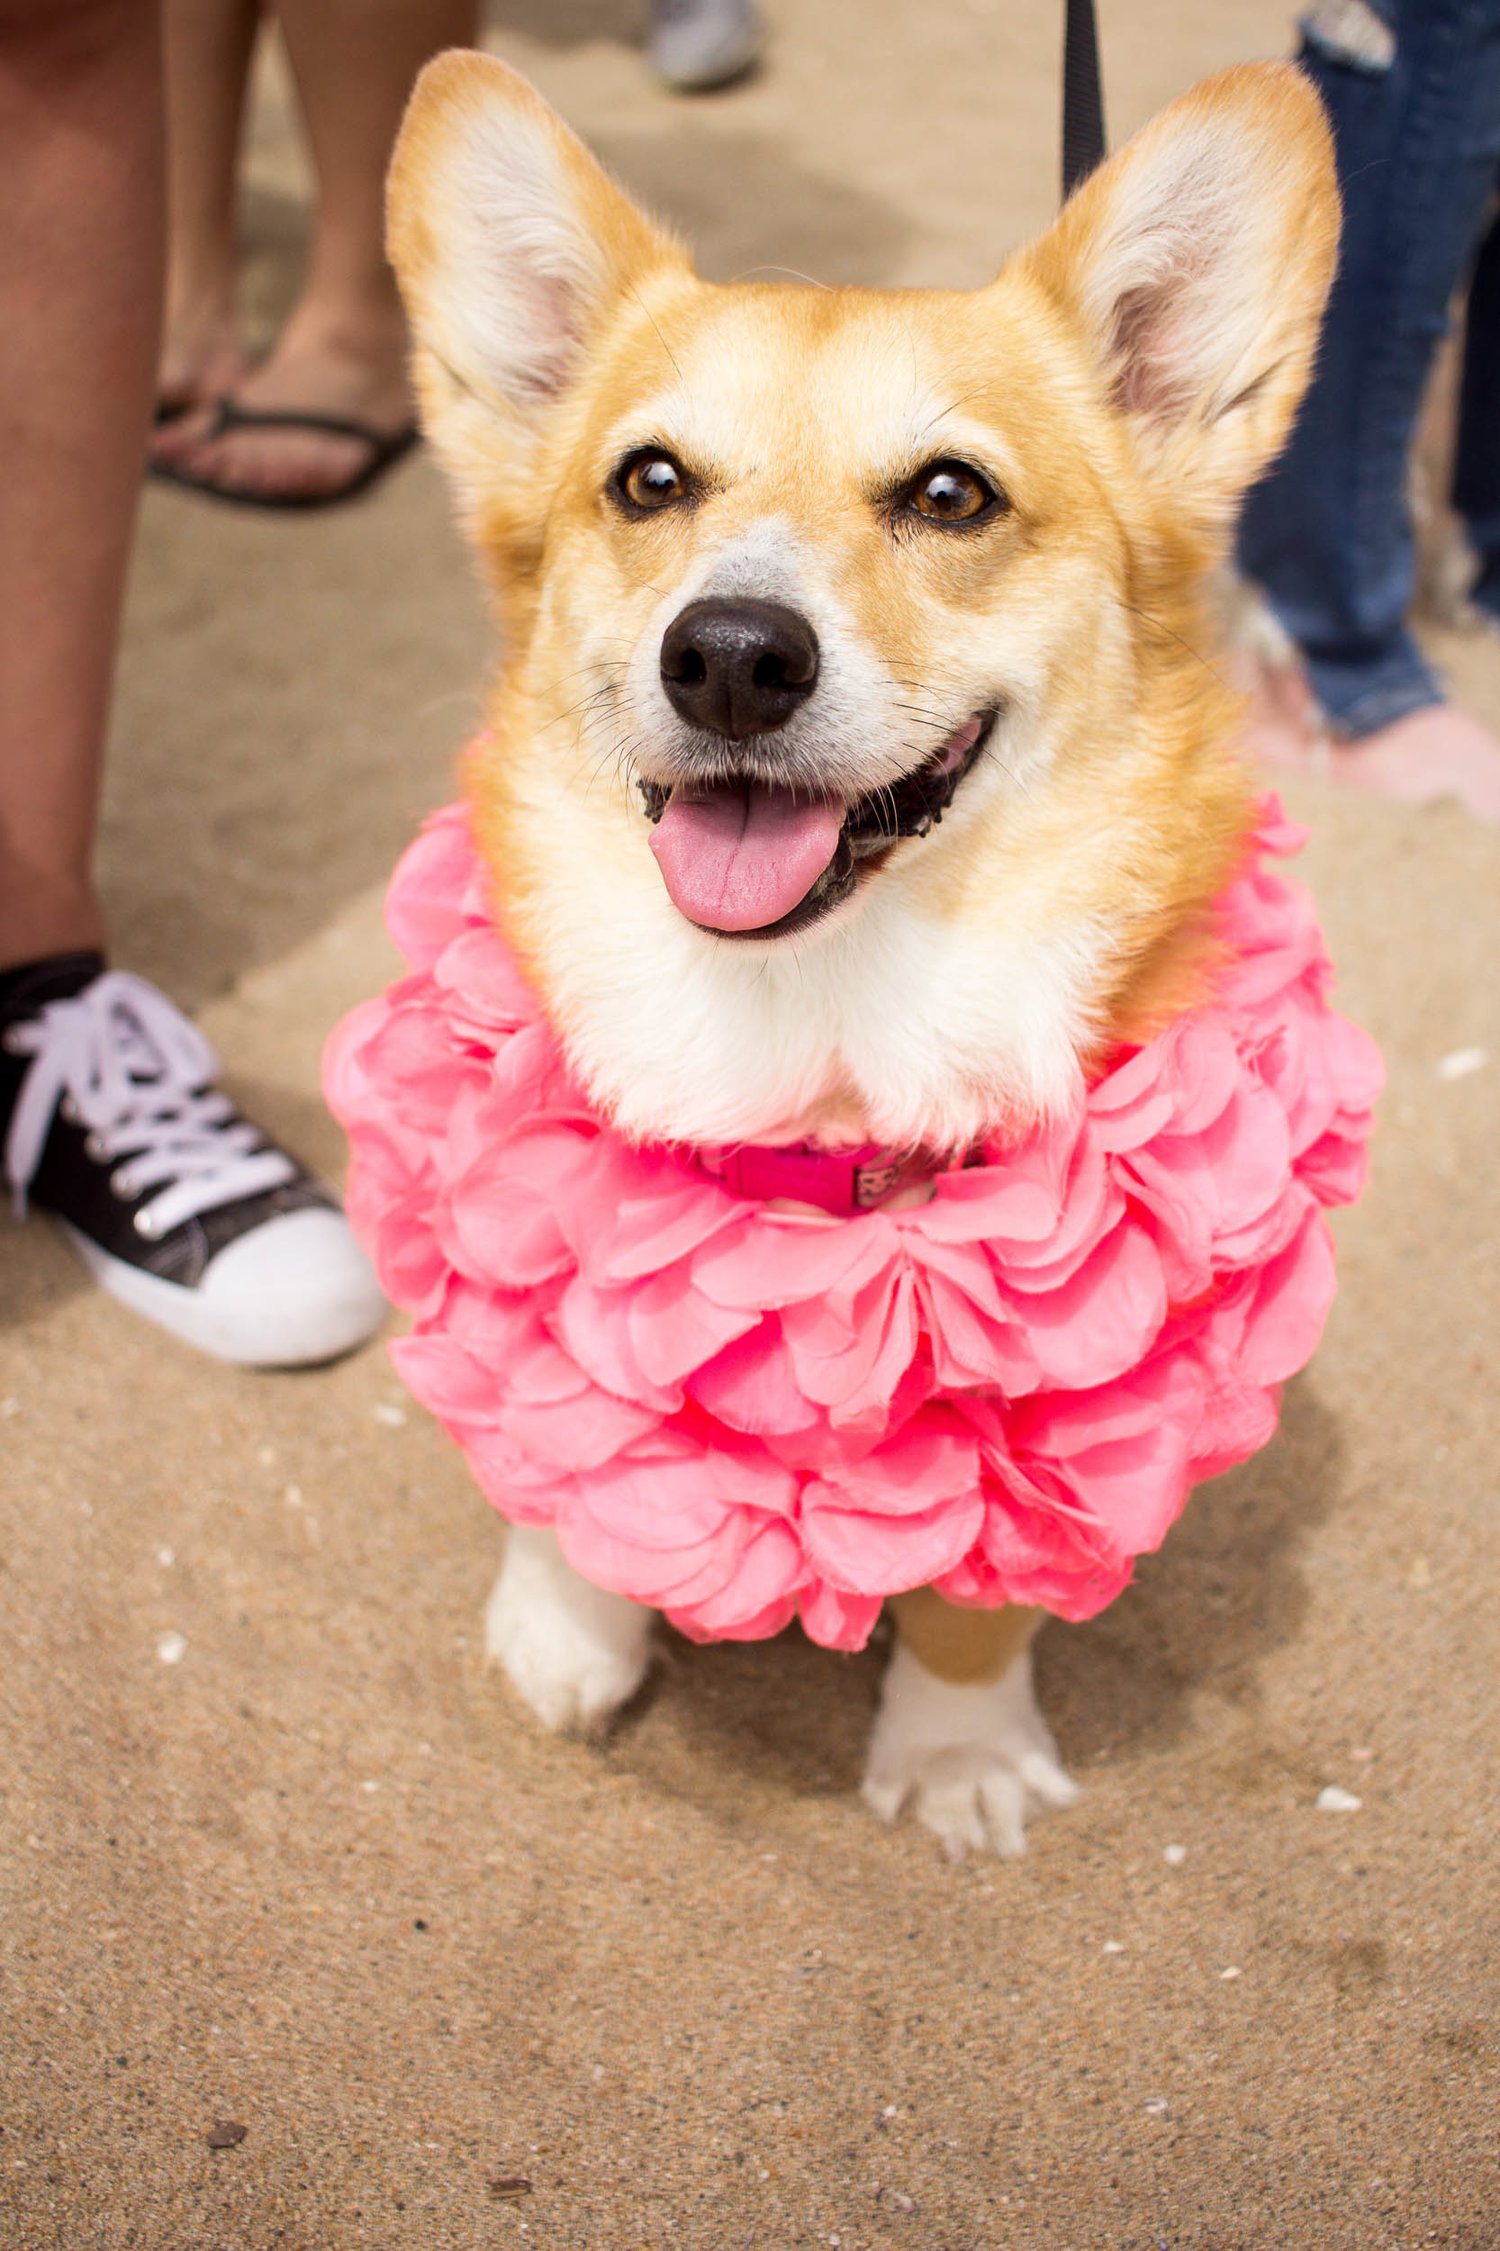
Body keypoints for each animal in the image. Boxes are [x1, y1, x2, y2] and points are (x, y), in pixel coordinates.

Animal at [360, 52, 1342, 1854]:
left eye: (951, 495)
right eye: (650, 479)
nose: (732, 657)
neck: (807, 1007)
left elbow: (974, 1589)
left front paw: (956, 1750)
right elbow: (561, 1449)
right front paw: (569, 1621)